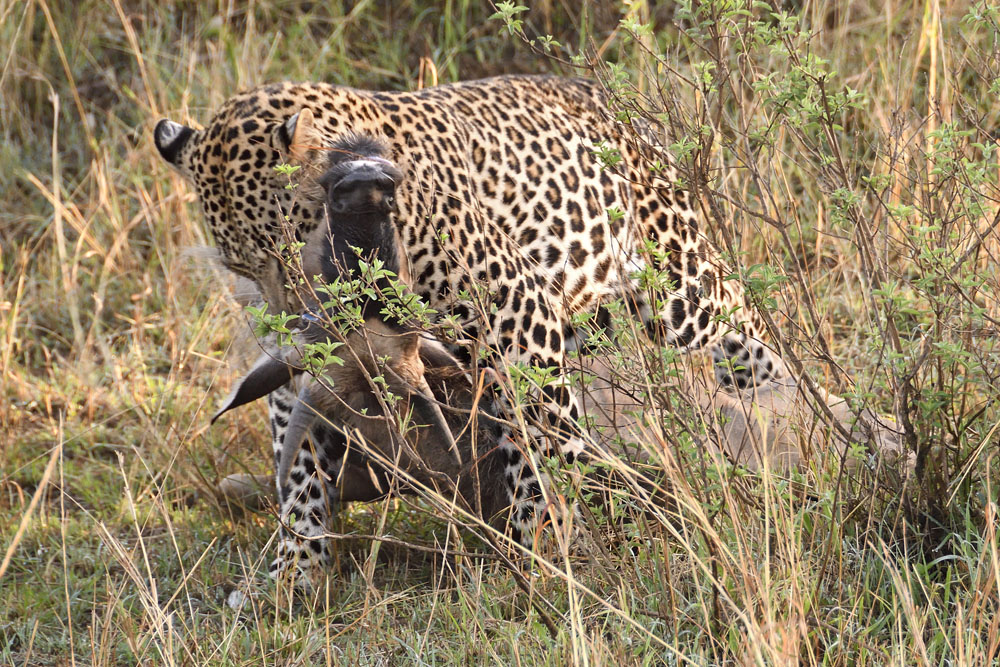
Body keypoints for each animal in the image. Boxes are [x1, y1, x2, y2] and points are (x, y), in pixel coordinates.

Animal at [153, 74, 789, 586]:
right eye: (241, 268)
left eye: (287, 248)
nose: (292, 321)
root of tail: (607, 99)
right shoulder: (303, 375)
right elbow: (300, 462)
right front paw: (295, 573)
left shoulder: (516, 312)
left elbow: (541, 443)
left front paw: (547, 547)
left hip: (682, 288)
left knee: (749, 330)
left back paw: (793, 424)